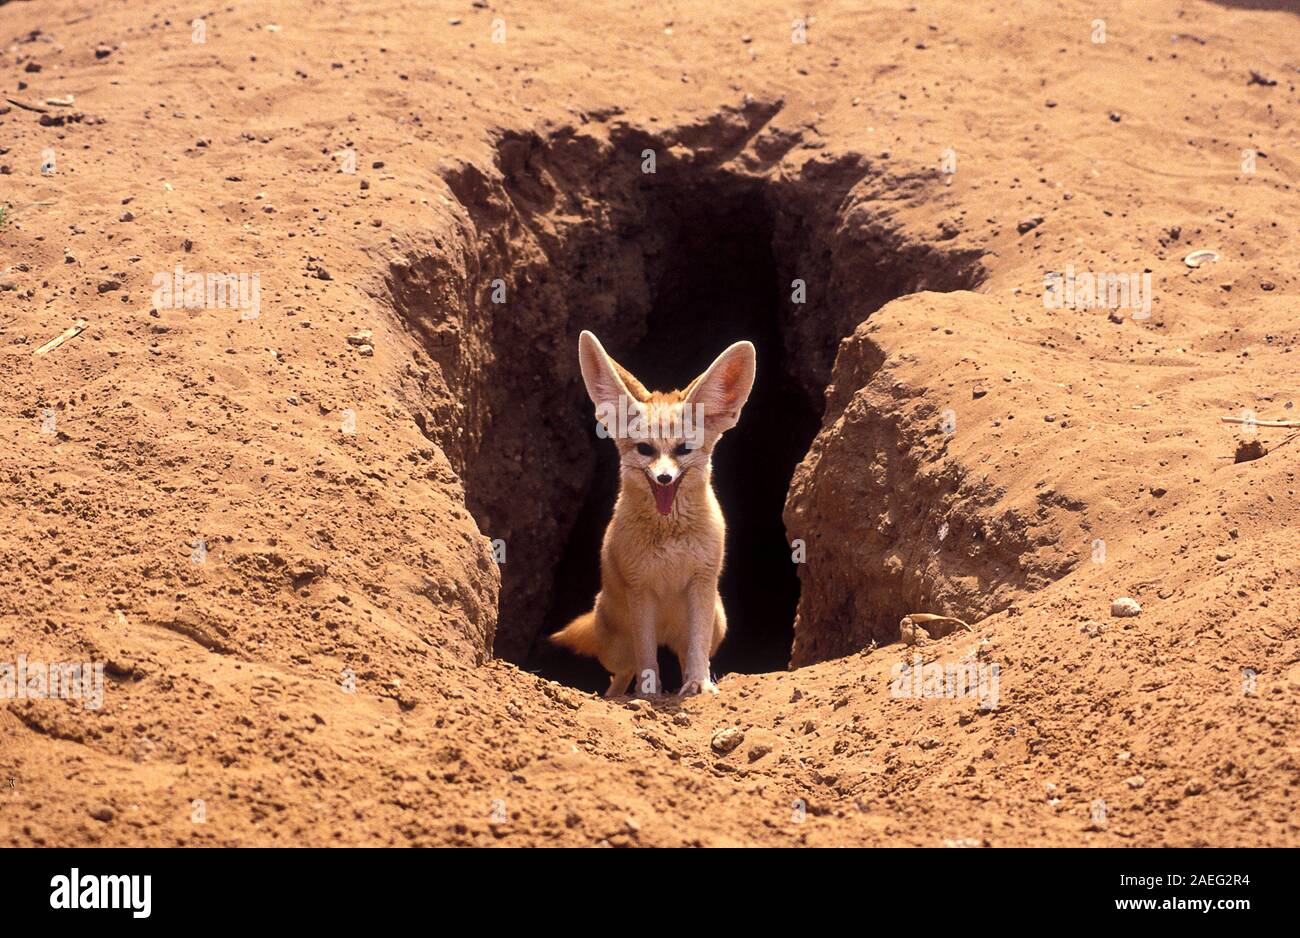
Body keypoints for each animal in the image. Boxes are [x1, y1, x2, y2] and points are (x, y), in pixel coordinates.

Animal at [546, 328, 754, 696]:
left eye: (683, 449)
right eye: (645, 449)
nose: (664, 478)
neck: (670, 539)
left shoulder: (702, 583)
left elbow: (697, 650)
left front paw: (699, 684)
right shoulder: (640, 590)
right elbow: (647, 658)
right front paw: (649, 695)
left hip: (716, 621)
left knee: (685, 653)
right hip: (619, 648)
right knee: (623, 672)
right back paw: (616, 696)